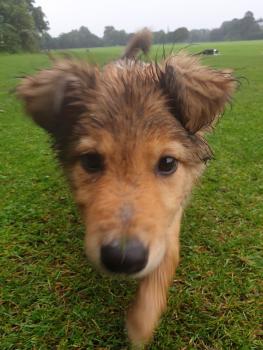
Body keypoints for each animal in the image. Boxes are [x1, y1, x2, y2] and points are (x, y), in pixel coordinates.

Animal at [17, 30, 238, 348]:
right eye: (91, 161)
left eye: (167, 163)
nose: (122, 259)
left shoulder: (172, 213)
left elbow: (168, 255)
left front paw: (142, 321)